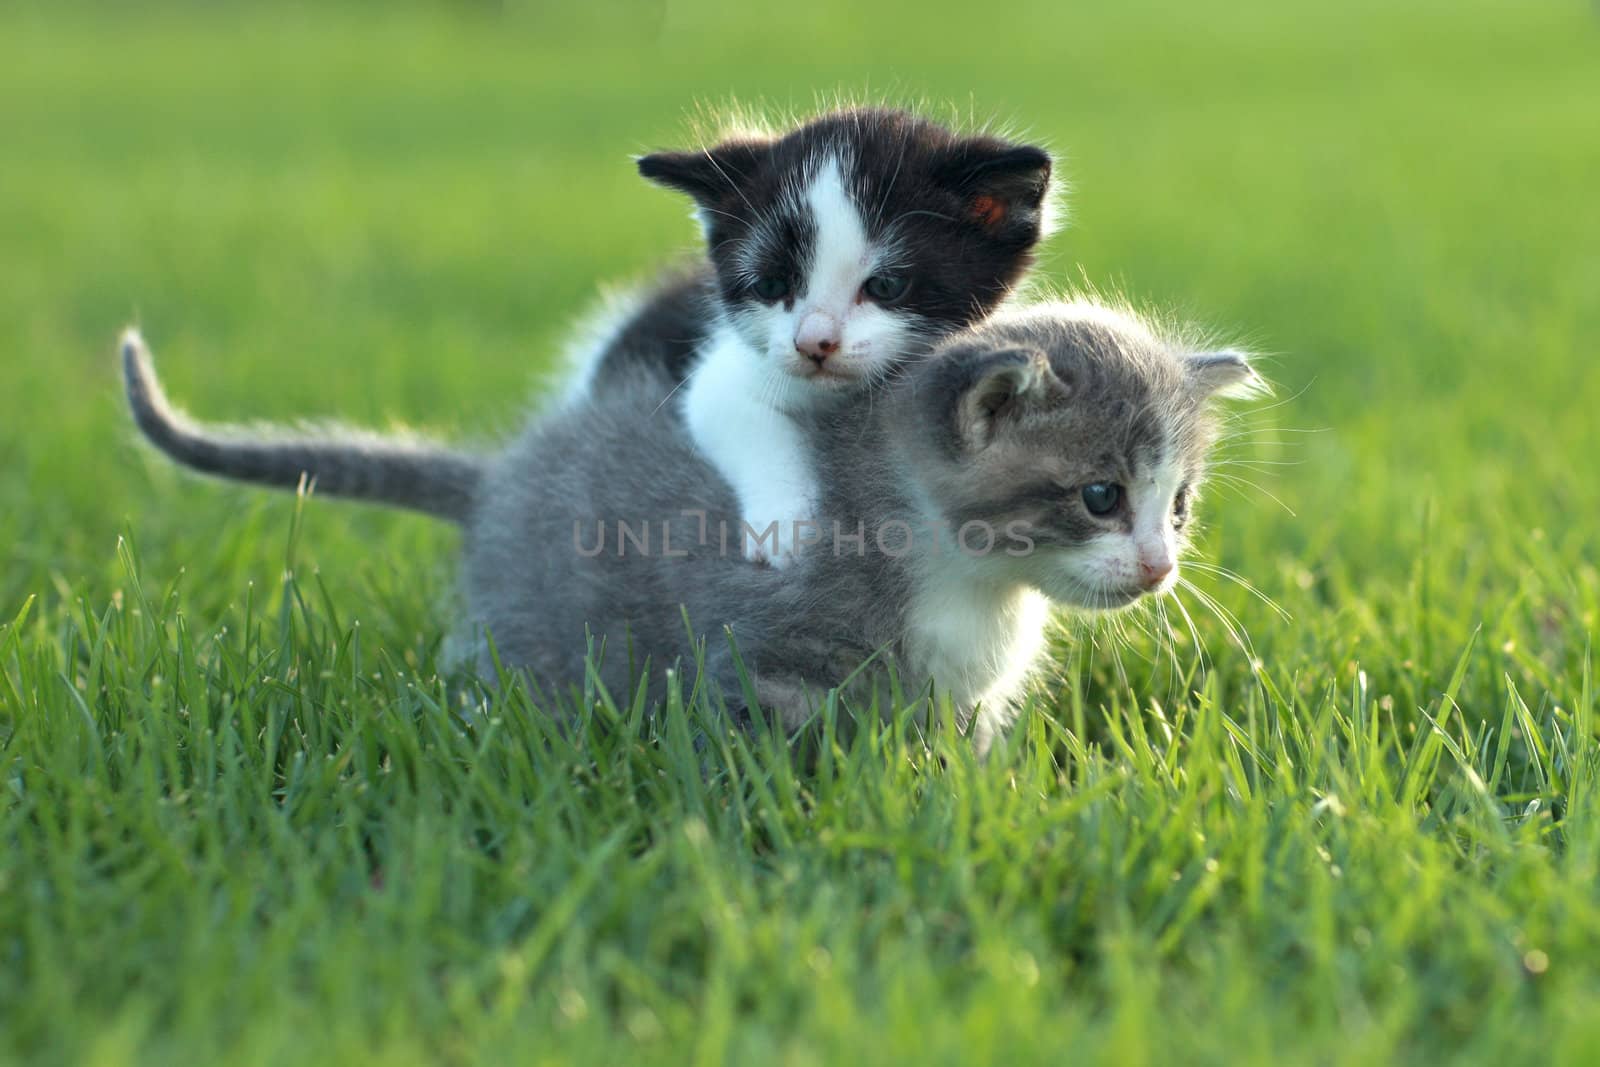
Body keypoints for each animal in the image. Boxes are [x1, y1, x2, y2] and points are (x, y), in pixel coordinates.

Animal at [121, 295, 1260, 755]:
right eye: (1100, 494)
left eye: (1179, 503)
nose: (1159, 567)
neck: (967, 583)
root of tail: (498, 475)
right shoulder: (763, 657)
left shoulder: (962, 698)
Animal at [569, 110, 1056, 566]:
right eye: (770, 286)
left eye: (885, 286)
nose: (813, 343)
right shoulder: (723, 372)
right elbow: (742, 414)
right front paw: (783, 525)